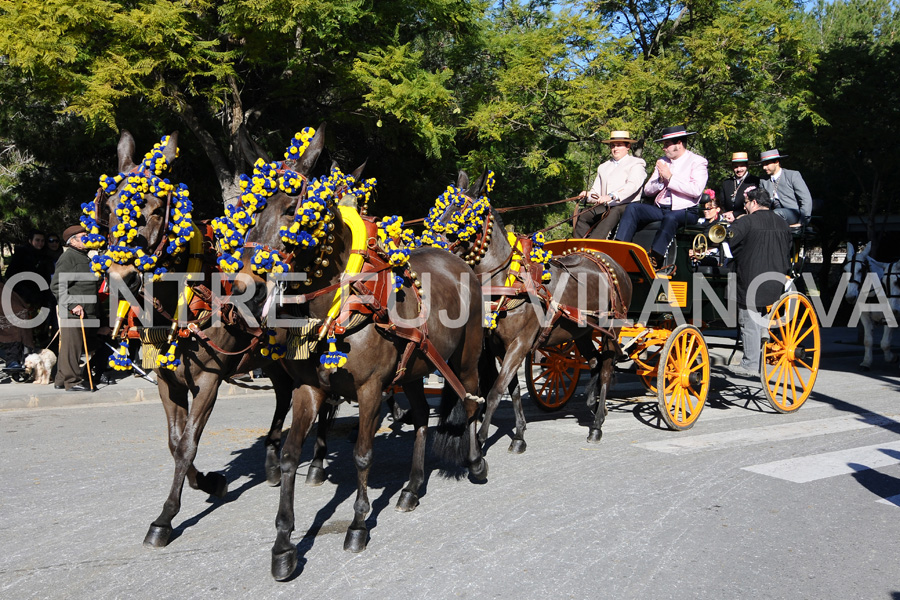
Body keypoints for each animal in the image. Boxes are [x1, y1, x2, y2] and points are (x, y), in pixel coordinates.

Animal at [98, 131, 296, 548]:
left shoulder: (209, 380)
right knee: (285, 396)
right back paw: (273, 462)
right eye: (109, 207)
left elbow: (189, 442)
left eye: (158, 209)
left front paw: (165, 518)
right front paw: (209, 482)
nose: (123, 276)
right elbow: (176, 444)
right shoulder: (167, 380)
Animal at [236, 126, 486, 580]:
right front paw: (284, 546)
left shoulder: (370, 389)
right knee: (420, 418)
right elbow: (289, 457)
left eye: (296, 206)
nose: (249, 285)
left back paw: (476, 465)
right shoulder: (308, 389)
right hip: (414, 368)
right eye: (252, 206)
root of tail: (459, 262)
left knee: (472, 402)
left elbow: (363, 454)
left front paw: (357, 524)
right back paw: (412, 487)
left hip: (467, 358)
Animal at [436, 170, 632, 450]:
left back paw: (596, 426)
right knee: (594, 362)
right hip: (582, 332)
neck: (508, 279)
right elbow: (513, 389)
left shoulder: (519, 344)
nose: (435, 241)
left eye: (462, 210)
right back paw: (595, 407)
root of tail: (613, 265)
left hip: (609, 330)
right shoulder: (499, 346)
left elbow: (496, 390)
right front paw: (519, 435)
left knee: (605, 369)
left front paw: (481, 439)